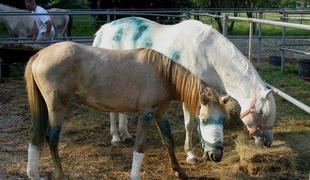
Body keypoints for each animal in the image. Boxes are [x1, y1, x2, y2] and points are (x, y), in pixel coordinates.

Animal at [23, 41, 228, 179]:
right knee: (52, 138)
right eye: (204, 121)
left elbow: (168, 141)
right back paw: (60, 175)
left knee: (35, 136)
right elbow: (140, 146)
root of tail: (39, 55)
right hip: (56, 107)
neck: (162, 75)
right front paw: (135, 175)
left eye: (223, 120)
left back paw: (33, 173)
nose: (216, 155)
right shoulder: (146, 115)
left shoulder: (160, 114)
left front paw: (179, 171)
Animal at [93, 16, 278, 165]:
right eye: (262, 113)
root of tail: (106, 28)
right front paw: (191, 155)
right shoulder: (189, 95)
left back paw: (125, 134)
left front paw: (205, 151)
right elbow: (189, 124)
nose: (268, 143)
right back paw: (115, 137)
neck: (208, 55)